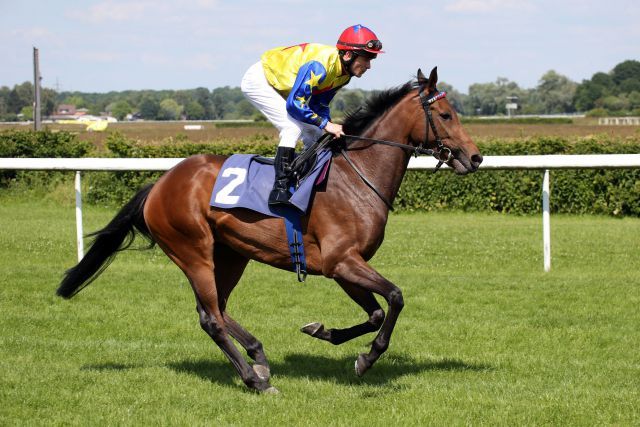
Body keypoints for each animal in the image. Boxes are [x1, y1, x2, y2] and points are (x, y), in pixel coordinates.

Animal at [57, 67, 482, 394]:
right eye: (446, 114)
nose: (475, 157)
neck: (357, 178)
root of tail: (160, 184)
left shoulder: (343, 265)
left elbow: (376, 312)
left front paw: (323, 332)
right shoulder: (341, 261)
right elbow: (395, 297)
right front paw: (367, 358)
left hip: (231, 254)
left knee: (218, 307)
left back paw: (259, 356)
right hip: (193, 250)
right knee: (210, 317)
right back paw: (255, 379)